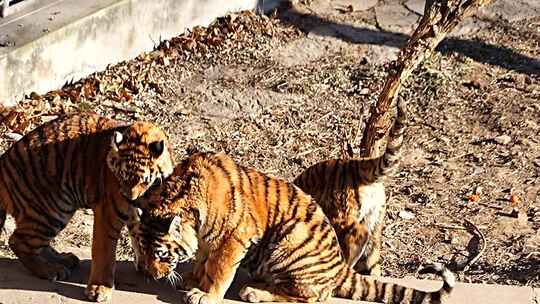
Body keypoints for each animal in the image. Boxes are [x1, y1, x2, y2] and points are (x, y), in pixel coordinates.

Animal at [0, 113, 174, 302]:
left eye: (143, 181)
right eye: (121, 176)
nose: (129, 198)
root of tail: (3, 162)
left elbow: (139, 235)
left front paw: (146, 264)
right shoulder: (108, 213)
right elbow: (104, 253)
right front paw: (99, 289)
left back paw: (64, 259)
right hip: (51, 210)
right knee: (17, 241)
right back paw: (50, 270)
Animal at [129, 153, 454, 302]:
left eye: (160, 254)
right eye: (139, 251)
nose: (149, 275)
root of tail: (340, 268)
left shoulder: (235, 236)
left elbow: (220, 269)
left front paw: (205, 294)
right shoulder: (208, 239)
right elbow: (202, 259)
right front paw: (193, 279)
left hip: (291, 237)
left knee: (308, 298)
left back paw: (254, 292)